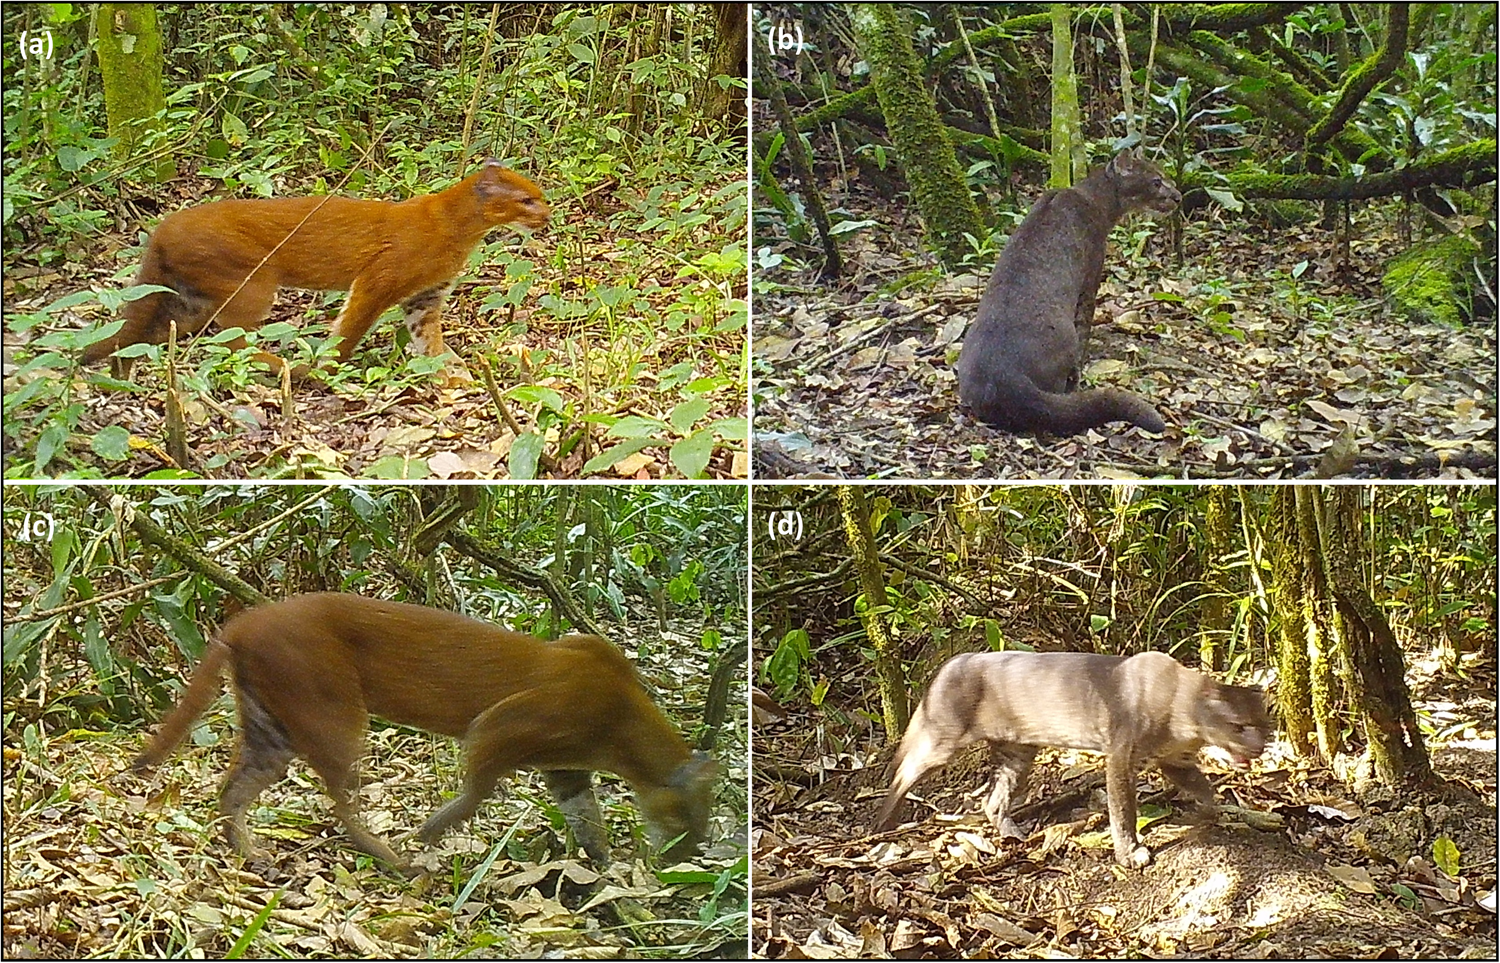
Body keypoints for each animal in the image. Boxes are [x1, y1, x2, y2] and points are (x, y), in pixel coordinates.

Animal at [82, 159, 552, 376]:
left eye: (538, 196)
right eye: (526, 200)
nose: (547, 215)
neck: (459, 224)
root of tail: (163, 226)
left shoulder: (425, 297)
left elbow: (428, 341)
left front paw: (450, 374)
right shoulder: (378, 281)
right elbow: (350, 328)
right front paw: (330, 367)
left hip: (187, 299)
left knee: (146, 335)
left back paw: (122, 372)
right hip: (253, 285)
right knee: (230, 340)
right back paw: (284, 366)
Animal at [129, 588, 714, 864]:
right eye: (689, 818)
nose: (688, 856)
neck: (623, 723)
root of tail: (244, 621)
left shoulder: (565, 768)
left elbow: (585, 817)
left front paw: (604, 866)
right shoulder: (500, 725)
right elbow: (476, 793)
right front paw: (428, 833)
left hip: (271, 726)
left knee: (233, 791)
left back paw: (252, 854)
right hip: (333, 713)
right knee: (340, 803)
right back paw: (398, 860)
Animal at [876, 648, 1272, 864]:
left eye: (1266, 725)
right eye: (1239, 726)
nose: (1259, 747)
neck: (1183, 708)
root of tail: (953, 661)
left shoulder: (1173, 760)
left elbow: (1205, 789)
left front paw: (1209, 813)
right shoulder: (1121, 755)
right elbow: (1123, 810)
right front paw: (1131, 854)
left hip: (1017, 751)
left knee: (992, 800)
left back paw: (1016, 835)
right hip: (944, 738)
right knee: (904, 768)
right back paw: (884, 823)